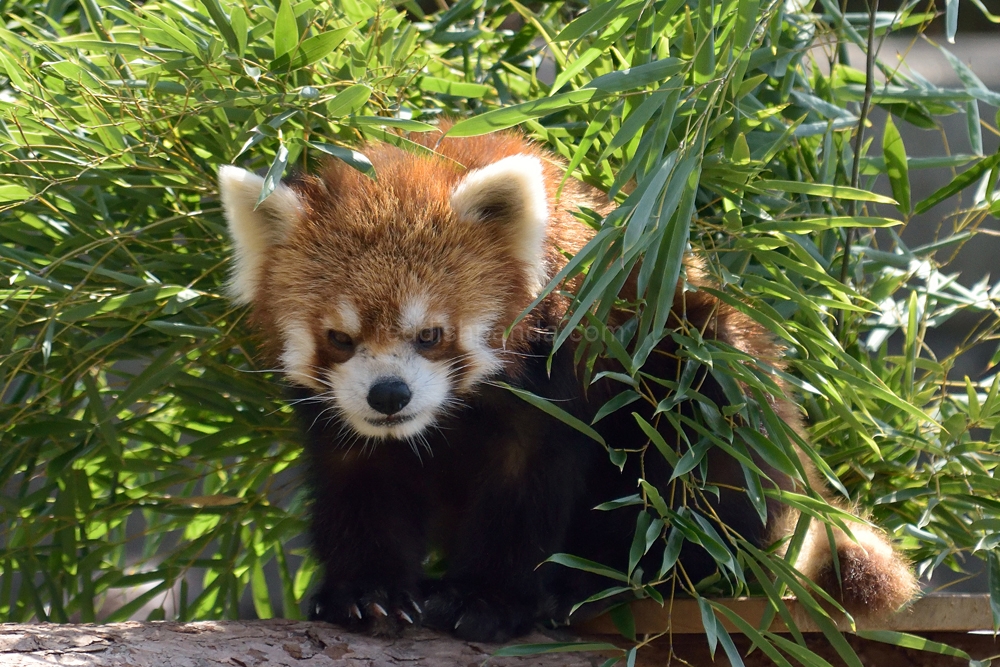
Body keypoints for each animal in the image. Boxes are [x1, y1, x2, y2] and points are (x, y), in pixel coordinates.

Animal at [217, 125, 916, 640]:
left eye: (431, 334)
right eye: (340, 338)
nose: (389, 396)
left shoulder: (562, 370)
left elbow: (528, 487)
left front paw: (488, 601)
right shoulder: (341, 414)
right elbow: (360, 483)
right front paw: (367, 594)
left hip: (707, 378)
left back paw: (595, 579)